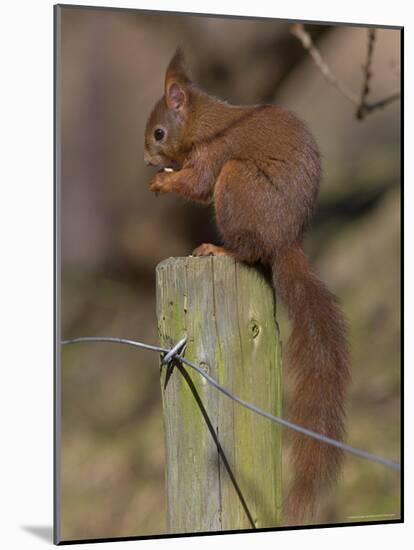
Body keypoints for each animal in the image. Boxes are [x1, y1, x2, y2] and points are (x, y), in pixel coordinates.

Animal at [144, 49, 350, 524]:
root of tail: (285, 240)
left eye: (159, 132)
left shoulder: (214, 153)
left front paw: (163, 180)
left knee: (248, 250)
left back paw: (219, 249)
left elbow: (198, 183)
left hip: (236, 181)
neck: (203, 122)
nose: (146, 159)